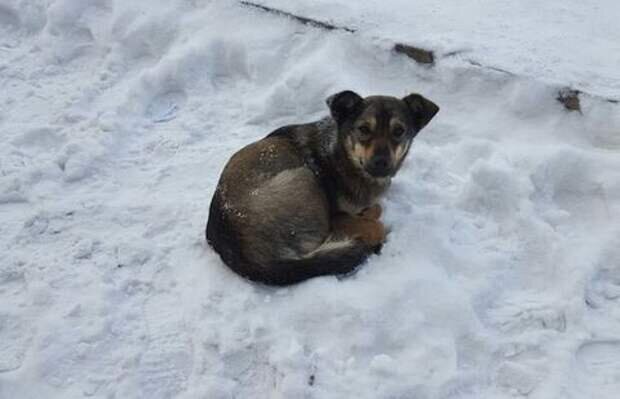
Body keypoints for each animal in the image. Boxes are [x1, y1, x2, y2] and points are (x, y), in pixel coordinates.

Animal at [208, 90, 440, 284]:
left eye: (399, 131)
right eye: (363, 129)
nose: (381, 162)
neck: (342, 156)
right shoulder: (336, 216)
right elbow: (374, 223)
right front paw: (369, 218)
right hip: (306, 177)